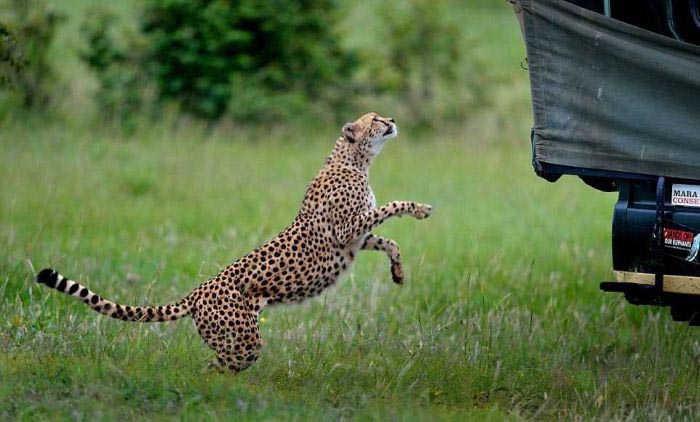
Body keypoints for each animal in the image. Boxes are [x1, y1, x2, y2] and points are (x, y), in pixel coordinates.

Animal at [39, 111, 432, 370]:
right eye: (375, 118)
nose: (391, 118)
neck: (354, 160)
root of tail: (197, 292)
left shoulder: (356, 240)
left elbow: (388, 241)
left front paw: (398, 273)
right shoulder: (348, 231)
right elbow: (391, 207)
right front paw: (419, 208)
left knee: (219, 364)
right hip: (243, 337)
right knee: (220, 365)